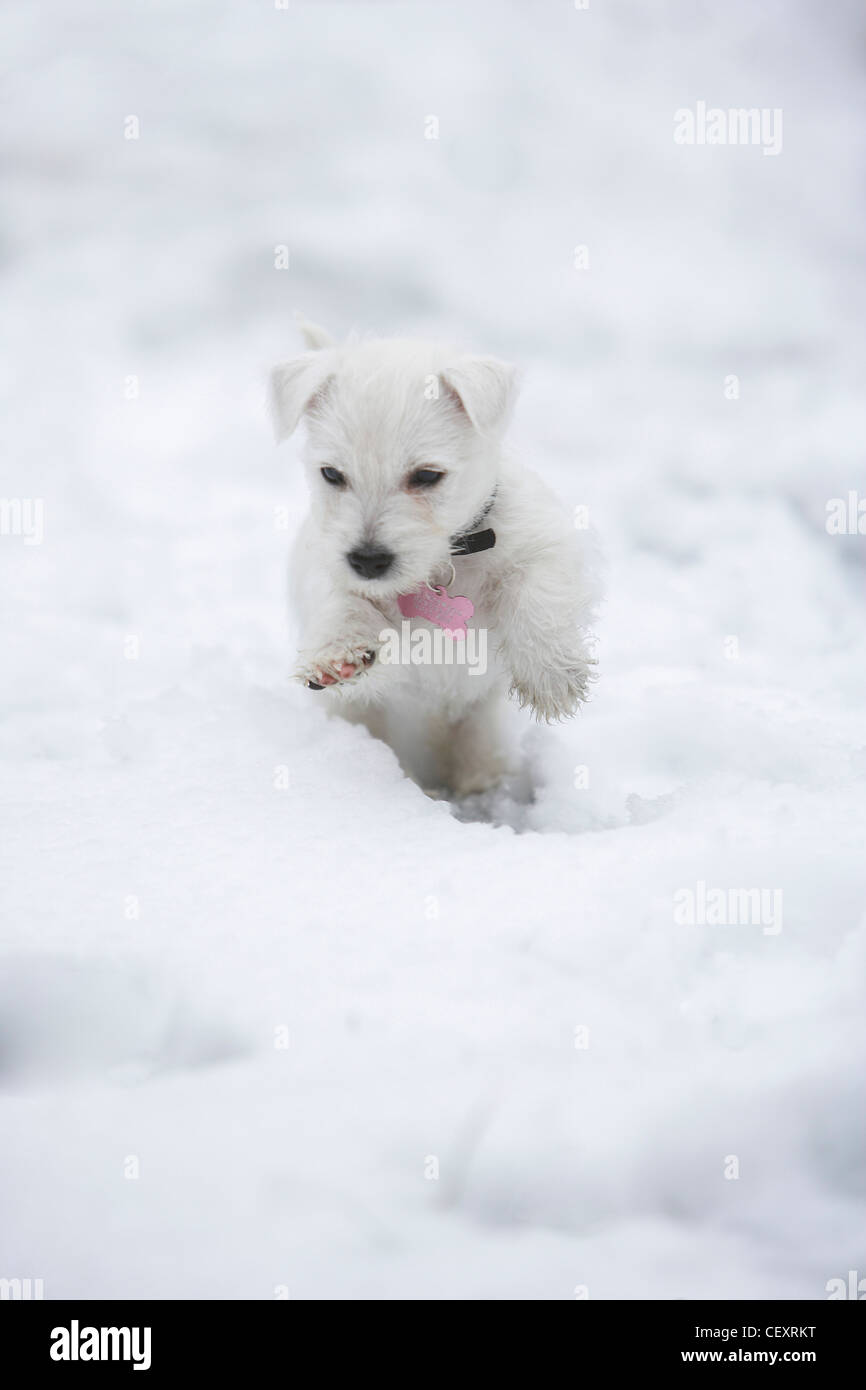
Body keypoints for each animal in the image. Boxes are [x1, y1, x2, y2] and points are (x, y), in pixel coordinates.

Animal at [273, 315, 600, 795]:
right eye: (331, 474)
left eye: (427, 476)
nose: (367, 561)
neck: (445, 560)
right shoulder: (325, 564)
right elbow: (342, 600)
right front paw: (340, 651)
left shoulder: (545, 541)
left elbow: (537, 588)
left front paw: (551, 674)